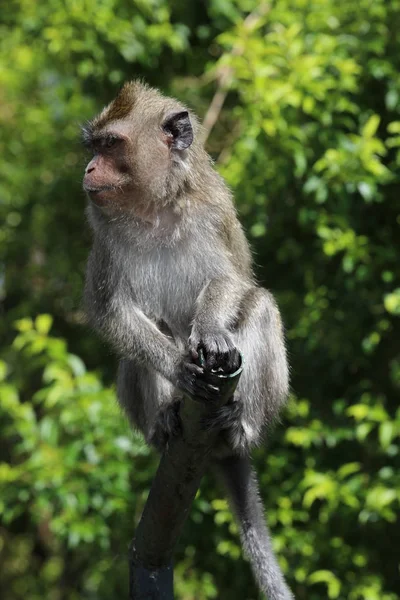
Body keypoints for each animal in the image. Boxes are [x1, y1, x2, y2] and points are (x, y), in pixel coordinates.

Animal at [82, 81, 294, 600]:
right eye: (94, 147)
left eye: (111, 145)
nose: (88, 169)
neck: (154, 206)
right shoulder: (103, 233)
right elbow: (110, 311)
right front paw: (179, 368)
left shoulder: (213, 211)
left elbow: (232, 281)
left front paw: (212, 329)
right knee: (146, 338)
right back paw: (166, 419)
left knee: (261, 306)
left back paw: (239, 424)